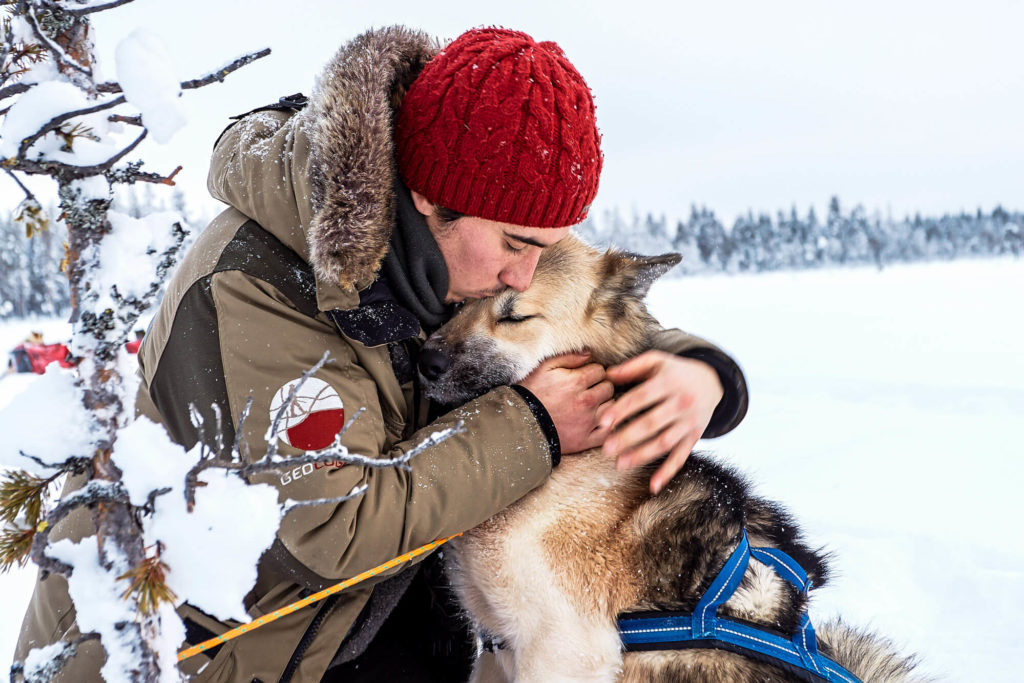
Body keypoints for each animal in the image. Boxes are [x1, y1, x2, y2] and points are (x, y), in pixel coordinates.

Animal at [415, 236, 921, 683]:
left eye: (514, 315)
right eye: (462, 303)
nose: (425, 360)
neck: (572, 459)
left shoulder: (561, 651)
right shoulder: (497, 653)